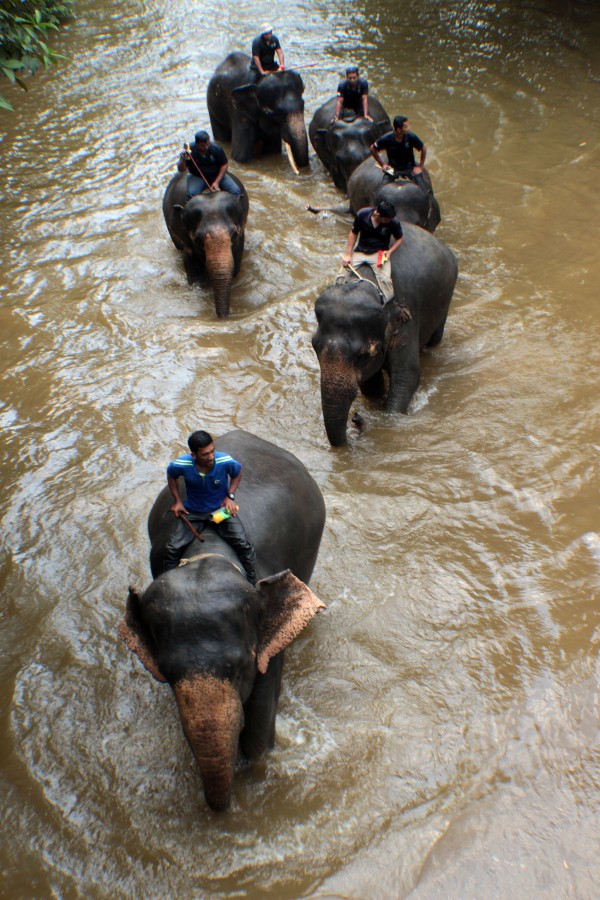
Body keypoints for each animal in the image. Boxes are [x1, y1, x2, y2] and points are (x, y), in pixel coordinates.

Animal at [117, 432, 324, 812]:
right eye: (167, 674)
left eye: (240, 668)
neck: (208, 554)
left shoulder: (264, 639)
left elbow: (261, 710)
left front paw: (255, 764)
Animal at [312, 222, 458, 446]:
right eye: (314, 347)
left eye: (362, 355)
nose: (356, 418)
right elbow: (370, 384)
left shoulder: (405, 320)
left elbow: (407, 375)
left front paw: (389, 416)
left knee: (434, 340)